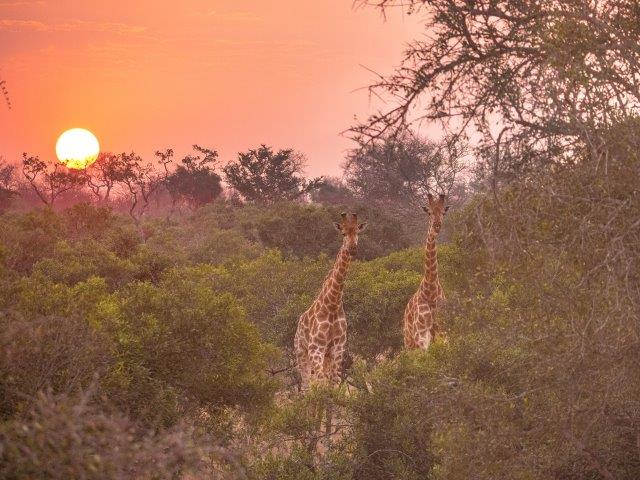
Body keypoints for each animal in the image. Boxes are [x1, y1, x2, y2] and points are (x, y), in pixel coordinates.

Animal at [294, 212, 364, 388]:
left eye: (358, 232)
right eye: (343, 233)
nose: (353, 249)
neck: (332, 304)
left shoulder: (338, 348)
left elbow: (334, 383)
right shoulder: (316, 348)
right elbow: (320, 384)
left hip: (326, 357)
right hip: (301, 354)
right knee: (306, 385)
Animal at [404, 194, 450, 348]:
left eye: (443, 212)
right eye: (429, 212)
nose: (437, 225)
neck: (430, 290)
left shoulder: (443, 329)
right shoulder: (421, 335)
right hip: (409, 341)